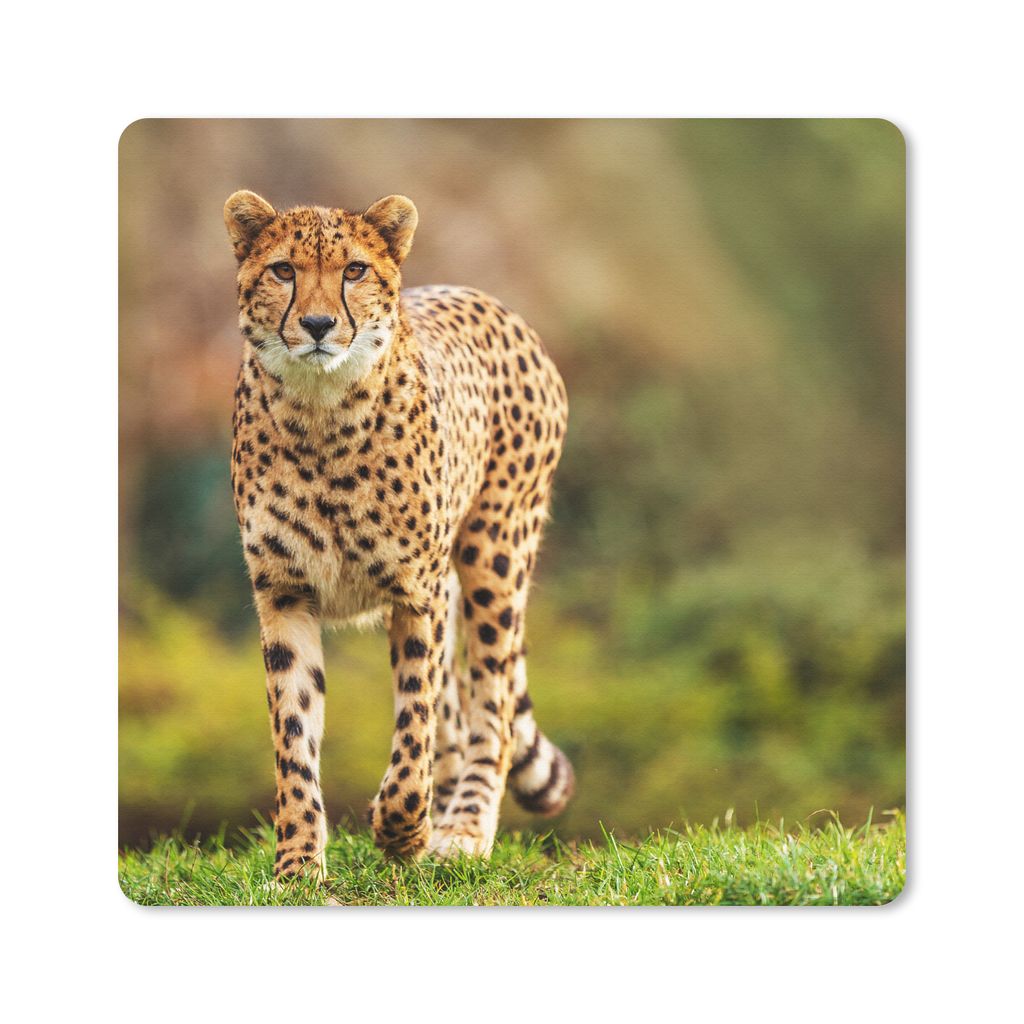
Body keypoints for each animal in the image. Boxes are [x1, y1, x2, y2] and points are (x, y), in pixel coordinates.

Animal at [224, 190, 575, 879]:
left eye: (355, 271)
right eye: (283, 271)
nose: (317, 325)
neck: (321, 413)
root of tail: (491, 302)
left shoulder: (418, 591)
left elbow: (415, 723)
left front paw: (400, 830)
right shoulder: (284, 593)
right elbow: (294, 735)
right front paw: (298, 864)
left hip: (494, 554)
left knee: (489, 709)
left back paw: (462, 829)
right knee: (459, 715)